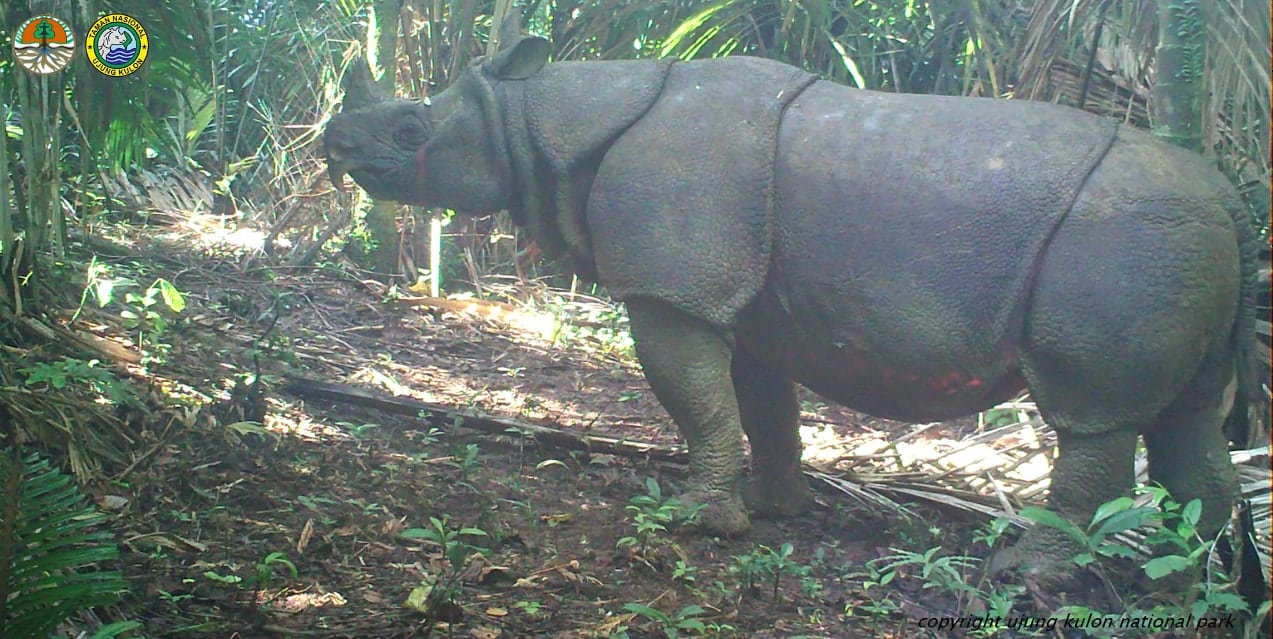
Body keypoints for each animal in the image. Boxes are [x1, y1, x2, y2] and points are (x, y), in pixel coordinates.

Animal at [320, 33, 1262, 582]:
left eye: (410, 131)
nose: (333, 141)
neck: (535, 117)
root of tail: (1227, 194)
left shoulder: (670, 289)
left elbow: (694, 400)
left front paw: (696, 521)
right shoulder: (737, 296)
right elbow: (756, 402)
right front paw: (776, 511)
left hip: (1127, 241)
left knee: (1095, 416)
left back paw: (1028, 575)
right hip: (1180, 244)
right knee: (1186, 421)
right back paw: (1172, 581)